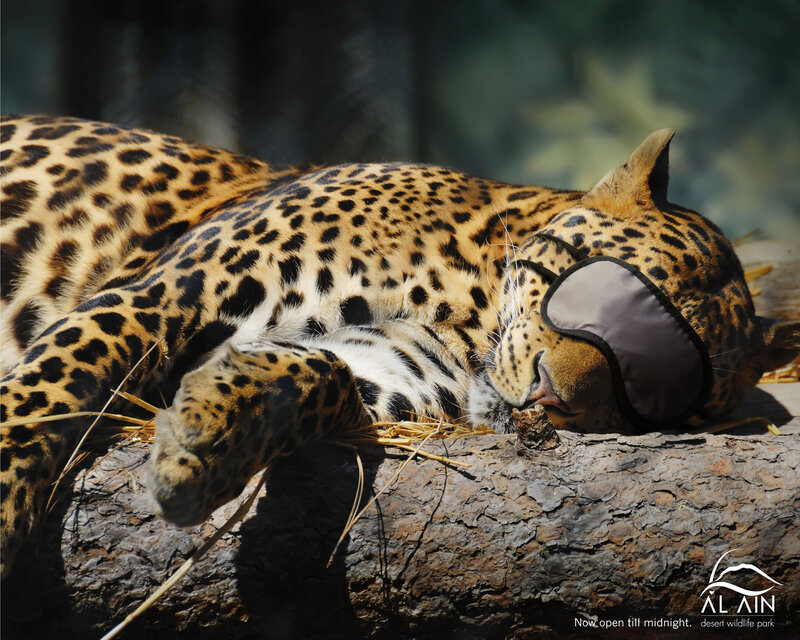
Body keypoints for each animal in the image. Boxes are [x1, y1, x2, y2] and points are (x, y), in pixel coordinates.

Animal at [1, 115, 797, 578]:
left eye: (653, 392)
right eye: (597, 293)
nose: (552, 397)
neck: (465, 303)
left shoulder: (389, 368)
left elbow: (318, 372)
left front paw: (205, 437)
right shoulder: (167, 294)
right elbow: (49, 390)